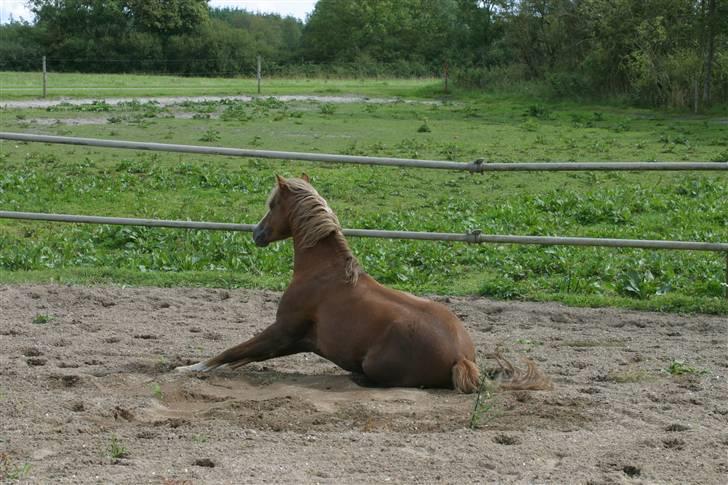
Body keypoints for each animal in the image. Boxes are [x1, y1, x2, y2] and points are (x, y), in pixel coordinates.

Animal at [178, 175, 552, 394]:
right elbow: (242, 356)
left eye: (272, 204)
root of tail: (463, 358)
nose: (256, 234)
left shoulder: (282, 331)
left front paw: (187, 368)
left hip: (374, 364)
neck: (323, 273)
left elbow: (231, 350)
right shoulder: (295, 340)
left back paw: (355, 377)